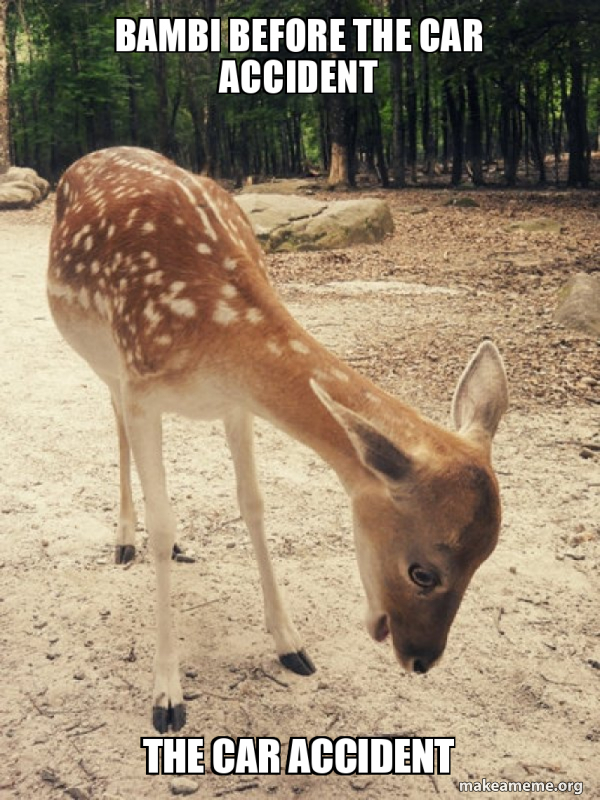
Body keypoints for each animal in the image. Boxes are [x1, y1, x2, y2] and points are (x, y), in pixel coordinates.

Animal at [47, 147, 508, 734]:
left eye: (485, 559)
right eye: (422, 571)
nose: (421, 659)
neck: (213, 333)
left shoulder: (237, 404)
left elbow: (254, 504)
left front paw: (291, 645)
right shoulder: (140, 388)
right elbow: (163, 518)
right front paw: (167, 695)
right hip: (104, 362)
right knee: (116, 425)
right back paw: (125, 539)